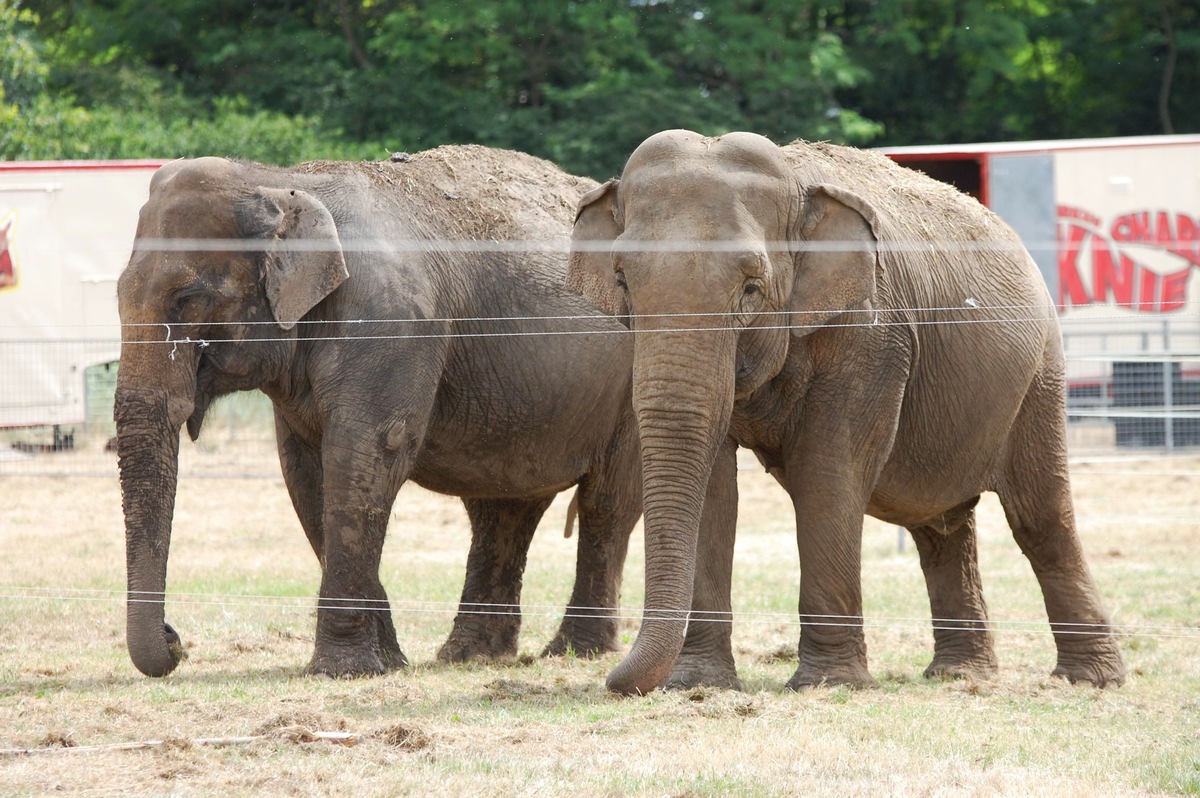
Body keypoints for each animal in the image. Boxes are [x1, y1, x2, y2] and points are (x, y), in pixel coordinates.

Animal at [117, 146, 643, 676]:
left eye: (187, 300)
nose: (176, 640)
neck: (280, 181)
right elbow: (306, 473)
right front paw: (388, 661)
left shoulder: (392, 321)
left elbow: (364, 454)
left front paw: (343, 670)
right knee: (502, 509)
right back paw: (470, 655)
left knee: (607, 504)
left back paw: (576, 650)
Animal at [568, 129, 1123, 691]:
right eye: (622, 280)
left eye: (751, 286)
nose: (611, 680)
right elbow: (715, 485)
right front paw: (698, 683)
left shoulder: (871, 333)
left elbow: (827, 471)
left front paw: (828, 684)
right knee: (940, 526)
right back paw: (957, 674)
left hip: (1041, 373)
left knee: (1040, 517)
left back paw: (1090, 679)